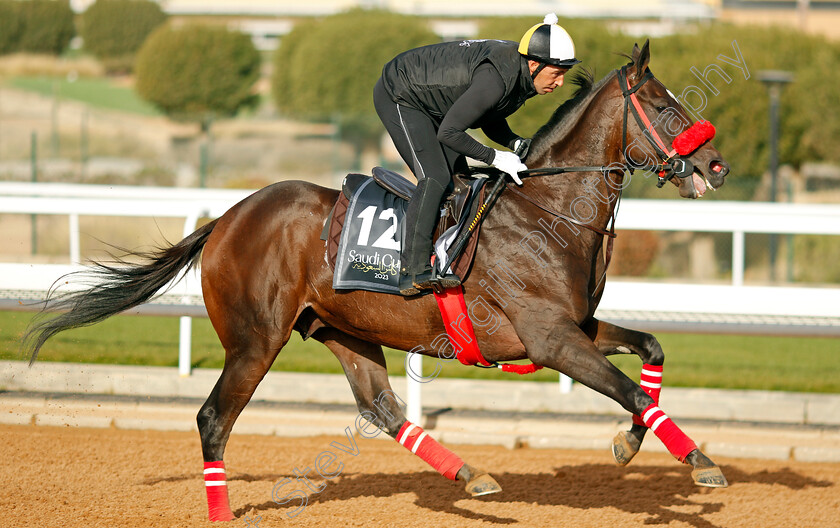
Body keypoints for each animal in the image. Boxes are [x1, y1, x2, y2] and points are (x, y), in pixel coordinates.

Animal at [23, 41, 728, 520]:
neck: (547, 212)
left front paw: (630, 446)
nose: (716, 166)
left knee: (381, 409)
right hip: (255, 339)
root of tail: (227, 217)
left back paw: (472, 475)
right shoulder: (550, 339)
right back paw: (221, 513)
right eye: (665, 107)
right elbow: (632, 391)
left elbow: (650, 355)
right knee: (213, 418)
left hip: (344, 329)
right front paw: (699, 462)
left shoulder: (575, 327)